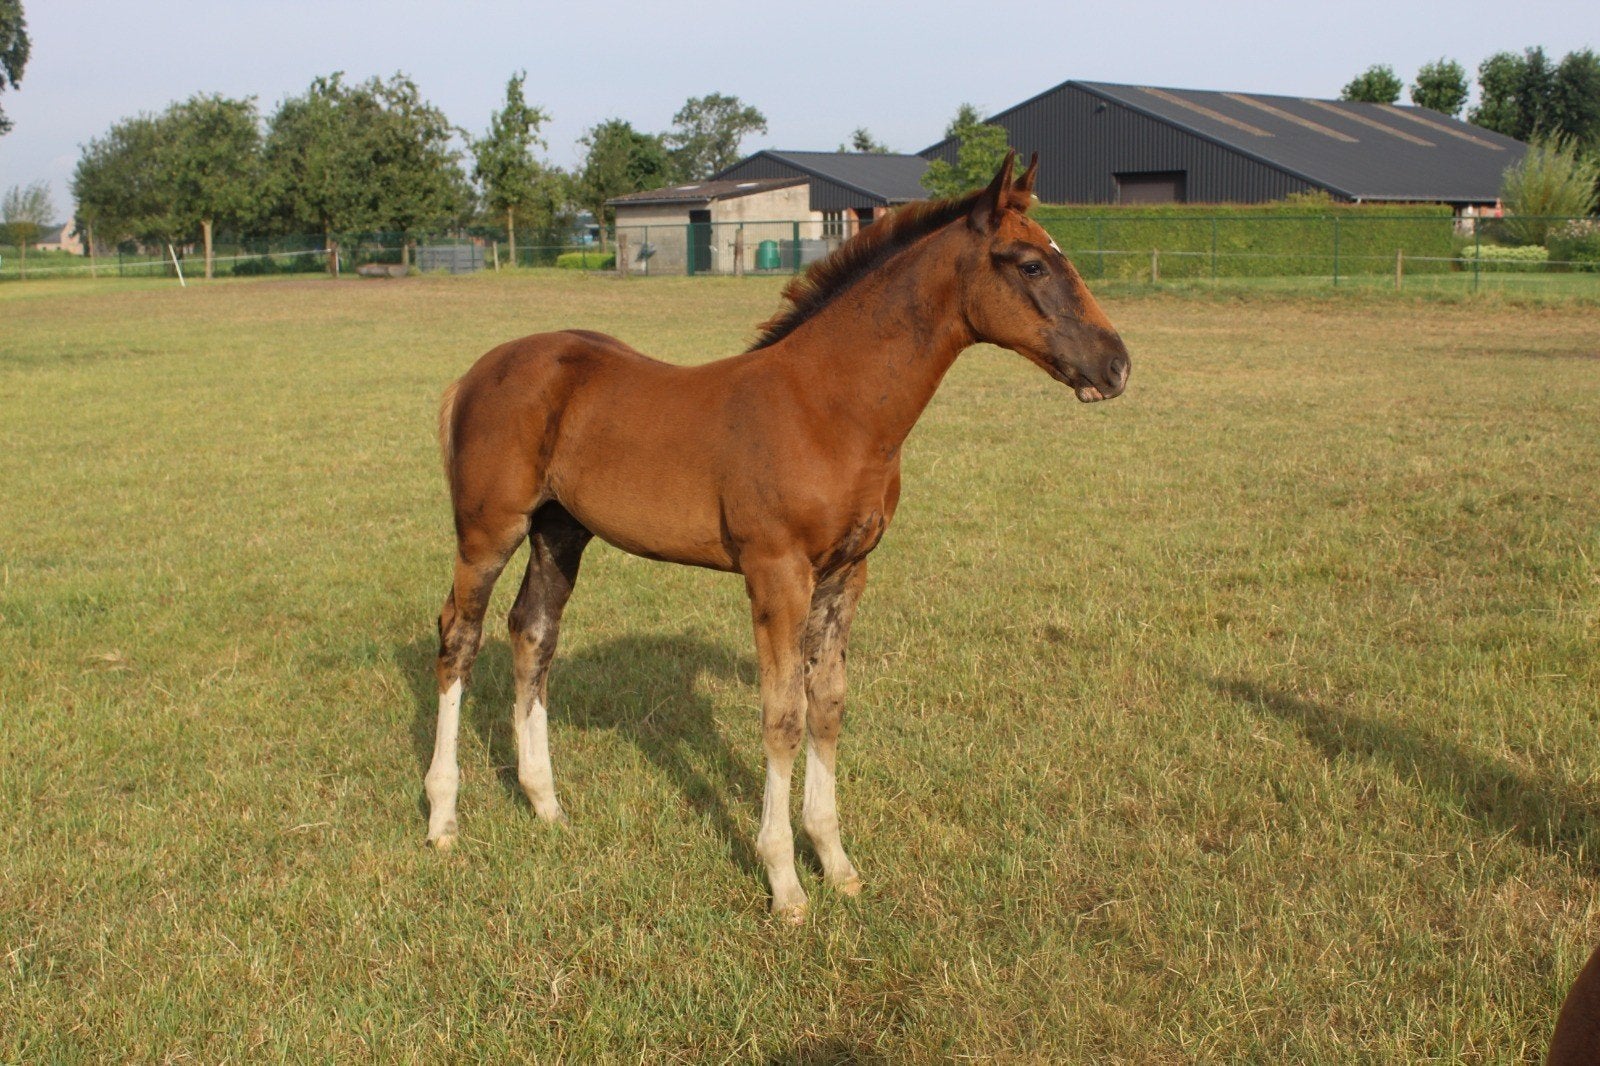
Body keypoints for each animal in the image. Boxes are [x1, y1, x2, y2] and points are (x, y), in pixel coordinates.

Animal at [424, 152, 1130, 922]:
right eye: (1031, 264)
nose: (1117, 364)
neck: (831, 408)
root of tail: (473, 374)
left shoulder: (847, 573)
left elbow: (828, 706)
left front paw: (837, 861)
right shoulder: (777, 572)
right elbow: (783, 715)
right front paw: (785, 882)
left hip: (560, 530)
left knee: (533, 633)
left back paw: (545, 803)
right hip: (488, 529)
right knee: (459, 638)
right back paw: (443, 818)